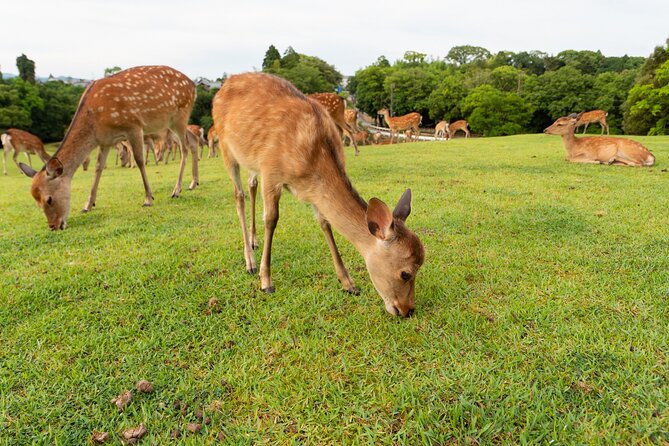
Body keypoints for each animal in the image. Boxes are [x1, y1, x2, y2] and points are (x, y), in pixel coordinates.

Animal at [17, 67, 196, 233]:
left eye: (49, 199)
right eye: (36, 202)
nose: (53, 226)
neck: (94, 122)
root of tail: (193, 86)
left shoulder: (134, 125)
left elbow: (139, 161)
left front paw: (148, 199)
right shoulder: (105, 141)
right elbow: (98, 168)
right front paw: (87, 205)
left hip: (180, 115)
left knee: (185, 147)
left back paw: (177, 190)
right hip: (171, 123)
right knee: (192, 141)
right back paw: (193, 183)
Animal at [211, 73, 426, 318]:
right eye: (405, 273)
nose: (407, 310)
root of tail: (223, 86)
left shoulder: (312, 192)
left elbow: (325, 223)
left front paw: (348, 283)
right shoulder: (270, 171)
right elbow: (272, 219)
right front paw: (266, 281)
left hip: (250, 161)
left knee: (251, 186)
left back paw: (254, 242)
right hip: (226, 147)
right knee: (239, 196)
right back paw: (250, 262)